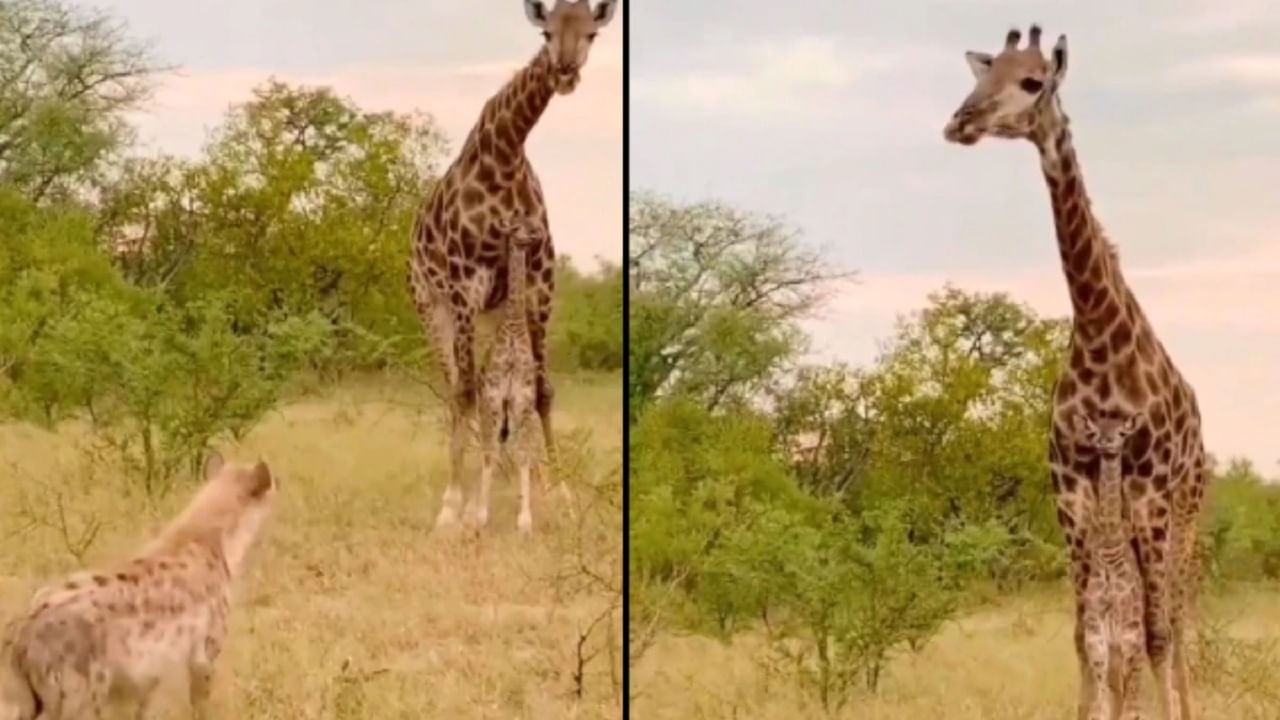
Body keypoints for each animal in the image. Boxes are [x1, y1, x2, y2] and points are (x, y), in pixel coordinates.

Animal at [0, 450, 279, 712]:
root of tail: (23, 629)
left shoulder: (139, 680)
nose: (279, 482)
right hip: (81, 696)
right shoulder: (204, 654)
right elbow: (201, 703)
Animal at [404, 0, 614, 527]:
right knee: (456, 385)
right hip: (431, 305)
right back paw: (462, 490)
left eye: (591, 34)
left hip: (493, 313)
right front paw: (453, 505)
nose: (565, 71)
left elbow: (542, 391)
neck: (505, 155)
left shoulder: (540, 287)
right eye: (545, 32)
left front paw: (556, 492)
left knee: (486, 387)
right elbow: (465, 391)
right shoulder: (465, 288)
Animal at [1070, 412, 1152, 717]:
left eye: (1121, 433)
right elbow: (1100, 707)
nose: (1106, 444)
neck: (1108, 542)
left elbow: (1130, 708)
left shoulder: (1130, 636)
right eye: (1094, 433)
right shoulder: (1096, 635)